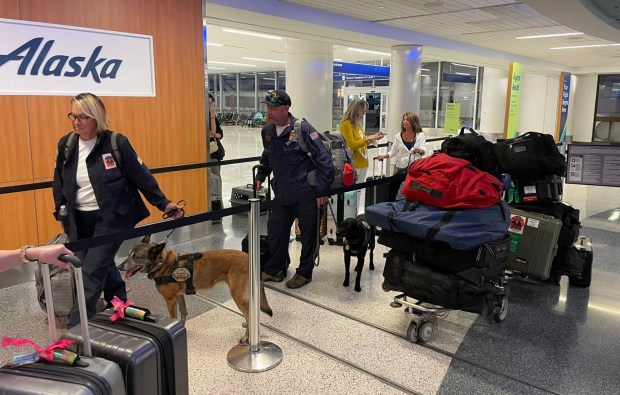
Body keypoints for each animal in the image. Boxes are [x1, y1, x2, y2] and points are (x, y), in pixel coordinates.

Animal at [120, 235, 272, 344]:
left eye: (136, 257)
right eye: (128, 255)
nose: (120, 267)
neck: (162, 263)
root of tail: (251, 258)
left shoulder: (170, 300)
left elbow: (173, 317)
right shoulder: (179, 296)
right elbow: (183, 313)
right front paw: (181, 329)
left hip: (237, 295)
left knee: (249, 313)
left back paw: (247, 336)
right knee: (250, 312)